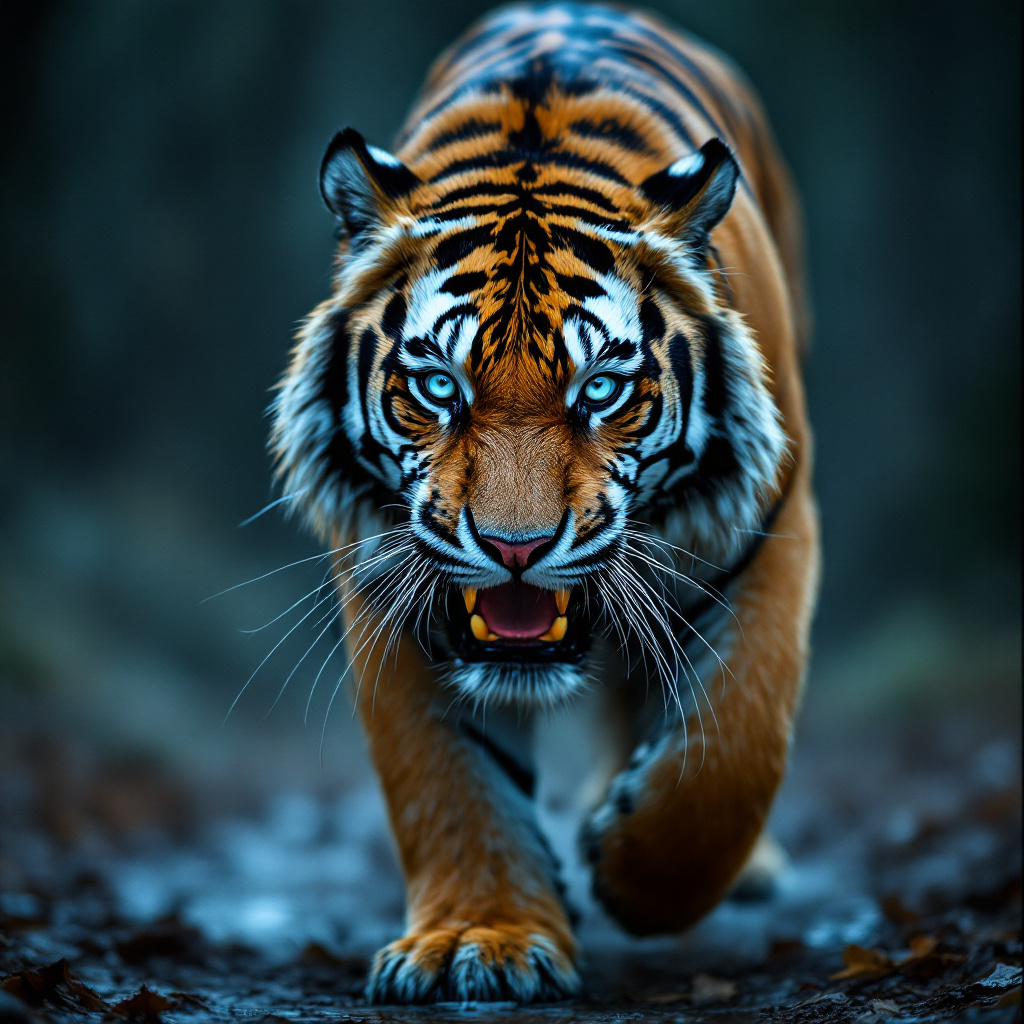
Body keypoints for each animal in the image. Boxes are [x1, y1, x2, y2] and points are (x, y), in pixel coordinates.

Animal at [270, 0, 820, 1005]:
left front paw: (634, 877)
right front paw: (477, 940)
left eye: (600, 389)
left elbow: (736, 743)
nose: (515, 548)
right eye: (438, 386)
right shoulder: (382, 571)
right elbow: (443, 773)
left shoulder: (772, 520)